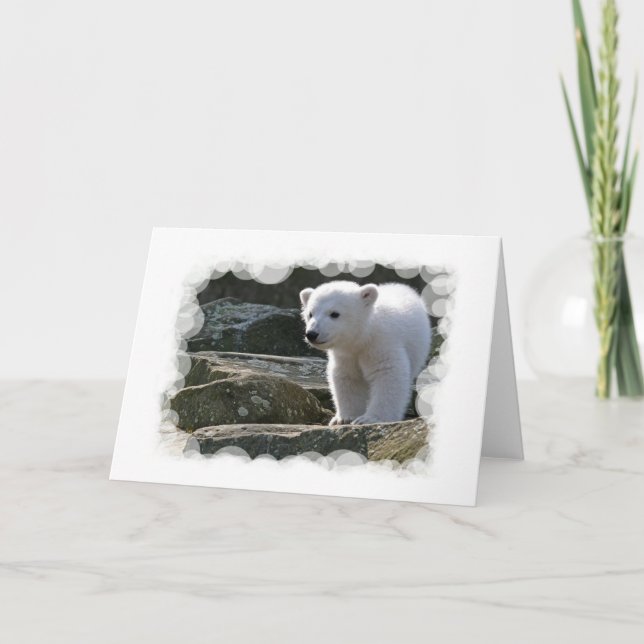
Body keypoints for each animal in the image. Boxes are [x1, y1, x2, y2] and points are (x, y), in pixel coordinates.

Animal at [299, 281, 431, 425]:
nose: (311, 334)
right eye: (310, 314)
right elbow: (347, 377)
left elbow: (387, 373)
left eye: (334, 314)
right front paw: (343, 418)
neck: (363, 336)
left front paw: (370, 418)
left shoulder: (381, 343)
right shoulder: (345, 355)